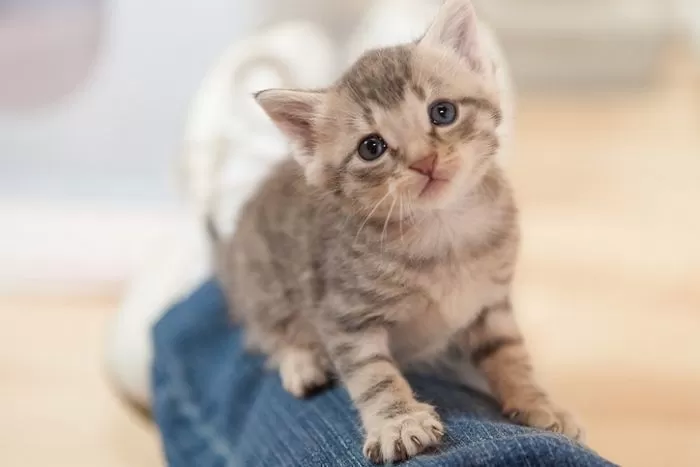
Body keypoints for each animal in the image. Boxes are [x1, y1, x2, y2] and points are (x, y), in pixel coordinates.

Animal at [216, 0, 584, 460]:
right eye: (371, 147)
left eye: (442, 112)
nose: (425, 161)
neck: (443, 231)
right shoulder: (344, 315)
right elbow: (373, 374)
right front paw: (399, 421)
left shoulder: (491, 302)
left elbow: (510, 353)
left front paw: (536, 401)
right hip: (259, 285)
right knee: (267, 332)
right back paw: (300, 362)